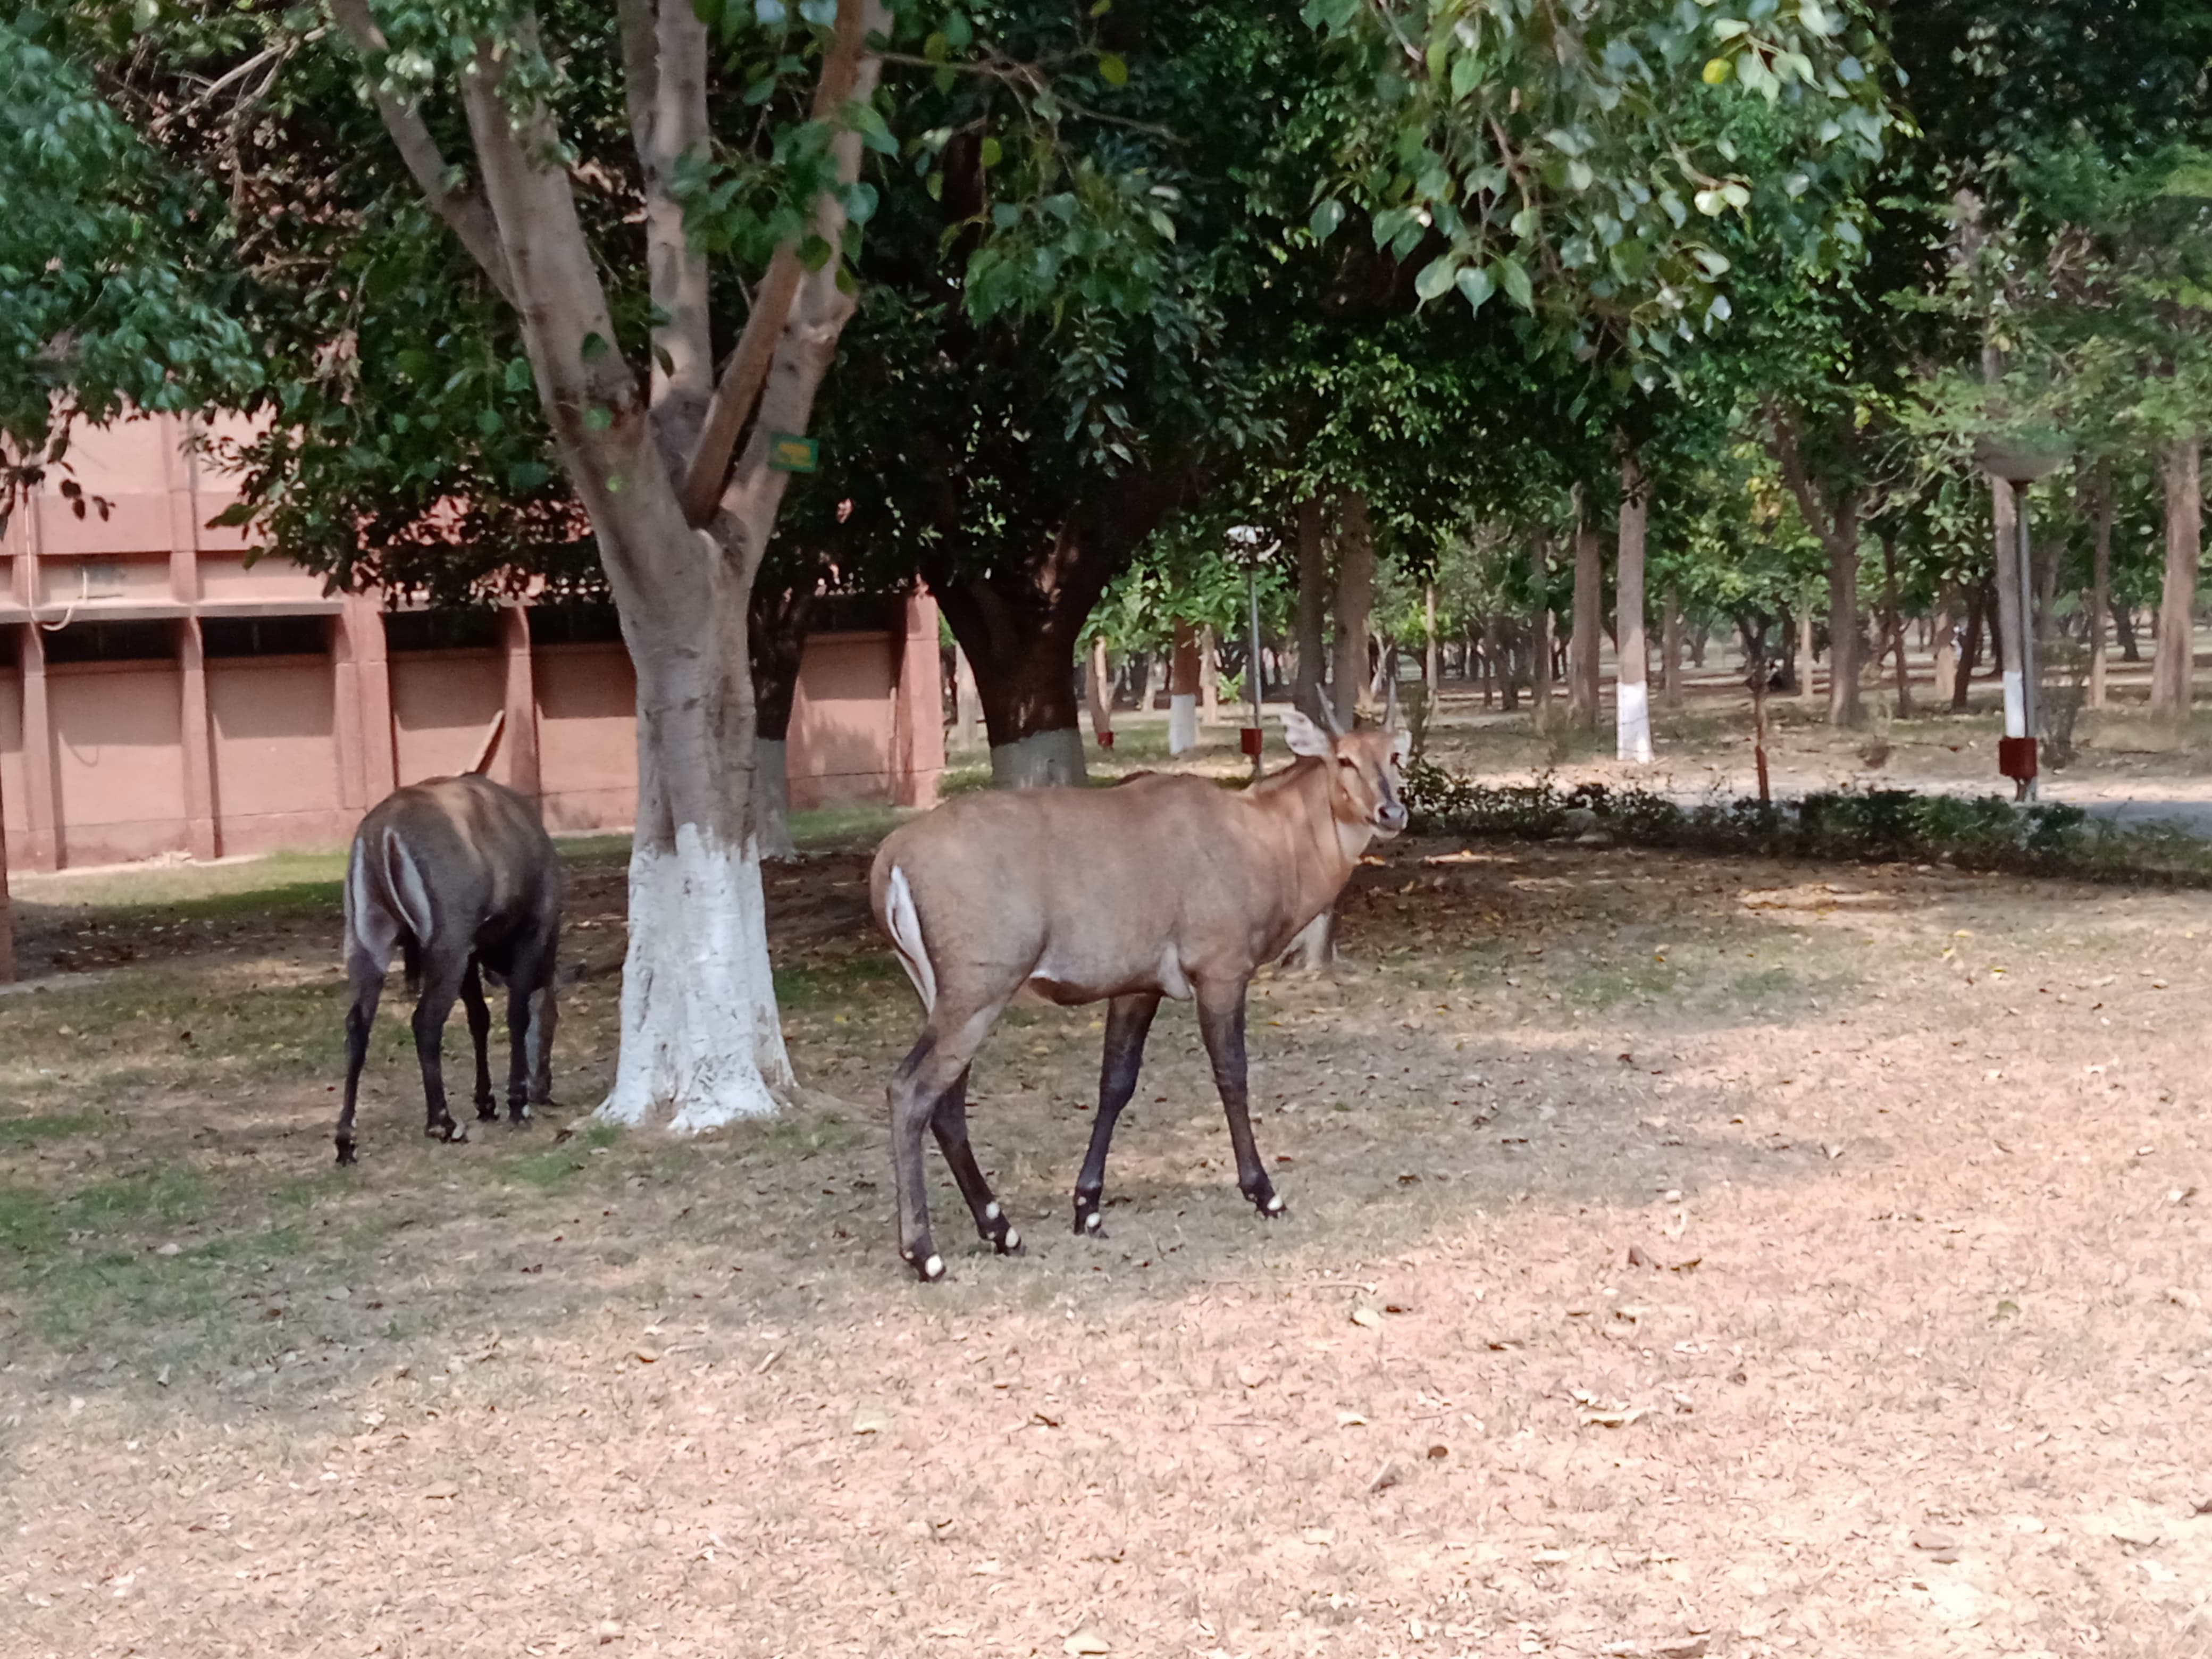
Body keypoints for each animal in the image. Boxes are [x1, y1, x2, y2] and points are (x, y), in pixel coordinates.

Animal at [336, 772, 562, 1165]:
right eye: (555, 1018)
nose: (545, 1091)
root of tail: (381, 834)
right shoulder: (530, 933)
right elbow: (517, 1015)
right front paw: (517, 1104)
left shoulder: (472, 952)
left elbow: (479, 1019)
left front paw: (486, 1103)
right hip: (446, 944)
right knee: (425, 1021)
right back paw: (442, 1123)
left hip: (368, 939)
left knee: (357, 1027)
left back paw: (346, 1141)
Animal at [868, 704, 1408, 1281]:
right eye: (1344, 759)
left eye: (1393, 756)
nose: (1391, 812)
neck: (1261, 834)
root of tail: (890, 858)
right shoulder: (1220, 973)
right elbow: (1232, 1076)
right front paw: (1265, 1194)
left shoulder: (1137, 988)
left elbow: (1116, 1084)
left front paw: (1087, 1209)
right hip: (976, 995)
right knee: (910, 1092)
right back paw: (925, 1254)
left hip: (947, 999)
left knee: (946, 1106)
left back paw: (1003, 1231)